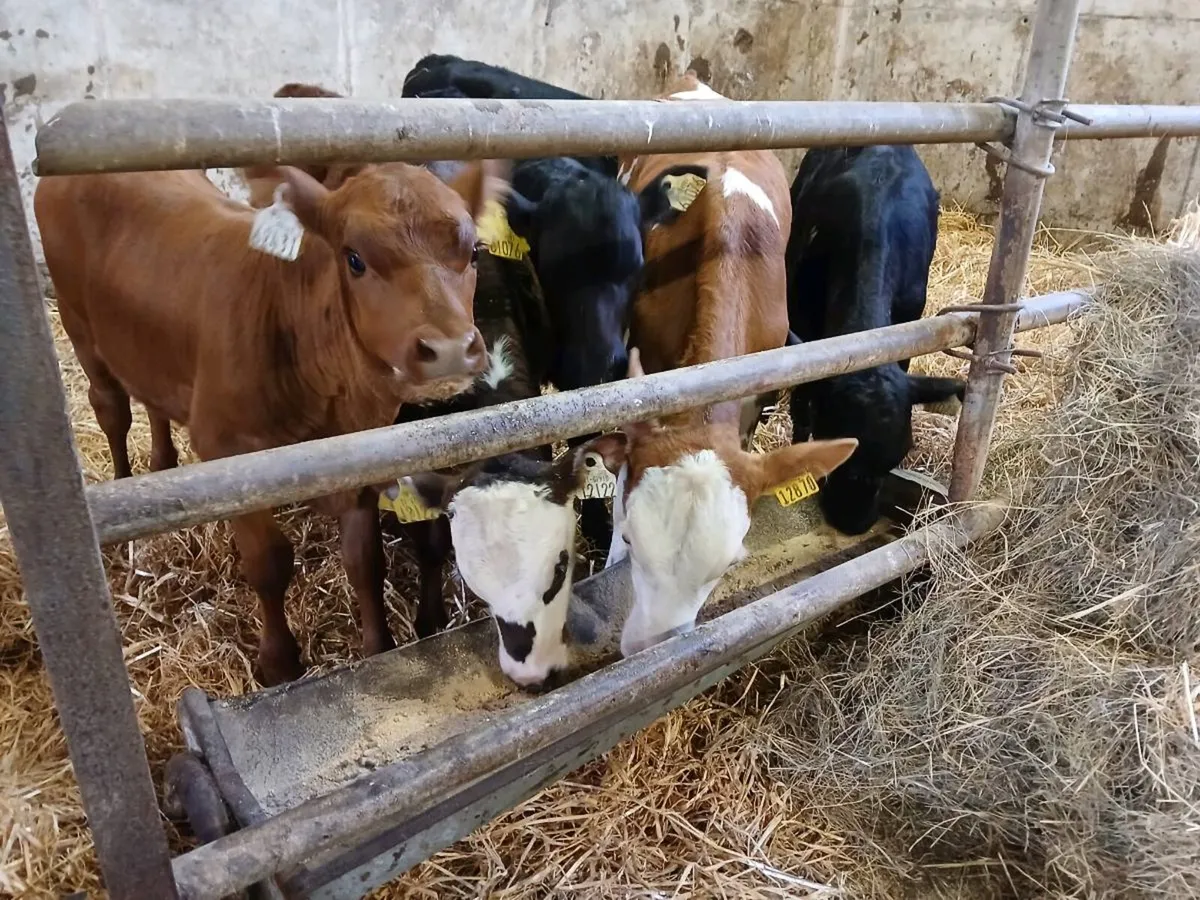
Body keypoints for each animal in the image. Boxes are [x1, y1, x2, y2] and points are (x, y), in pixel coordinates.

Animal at [35, 158, 503, 686]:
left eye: (474, 252)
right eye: (354, 258)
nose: (449, 349)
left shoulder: (362, 461)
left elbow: (365, 562)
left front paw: (378, 648)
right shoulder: (229, 455)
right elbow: (269, 564)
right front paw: (279, 662)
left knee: (153, 402)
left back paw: (162, 466)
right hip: (78, 326)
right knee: (111, 408)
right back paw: (124, 498)